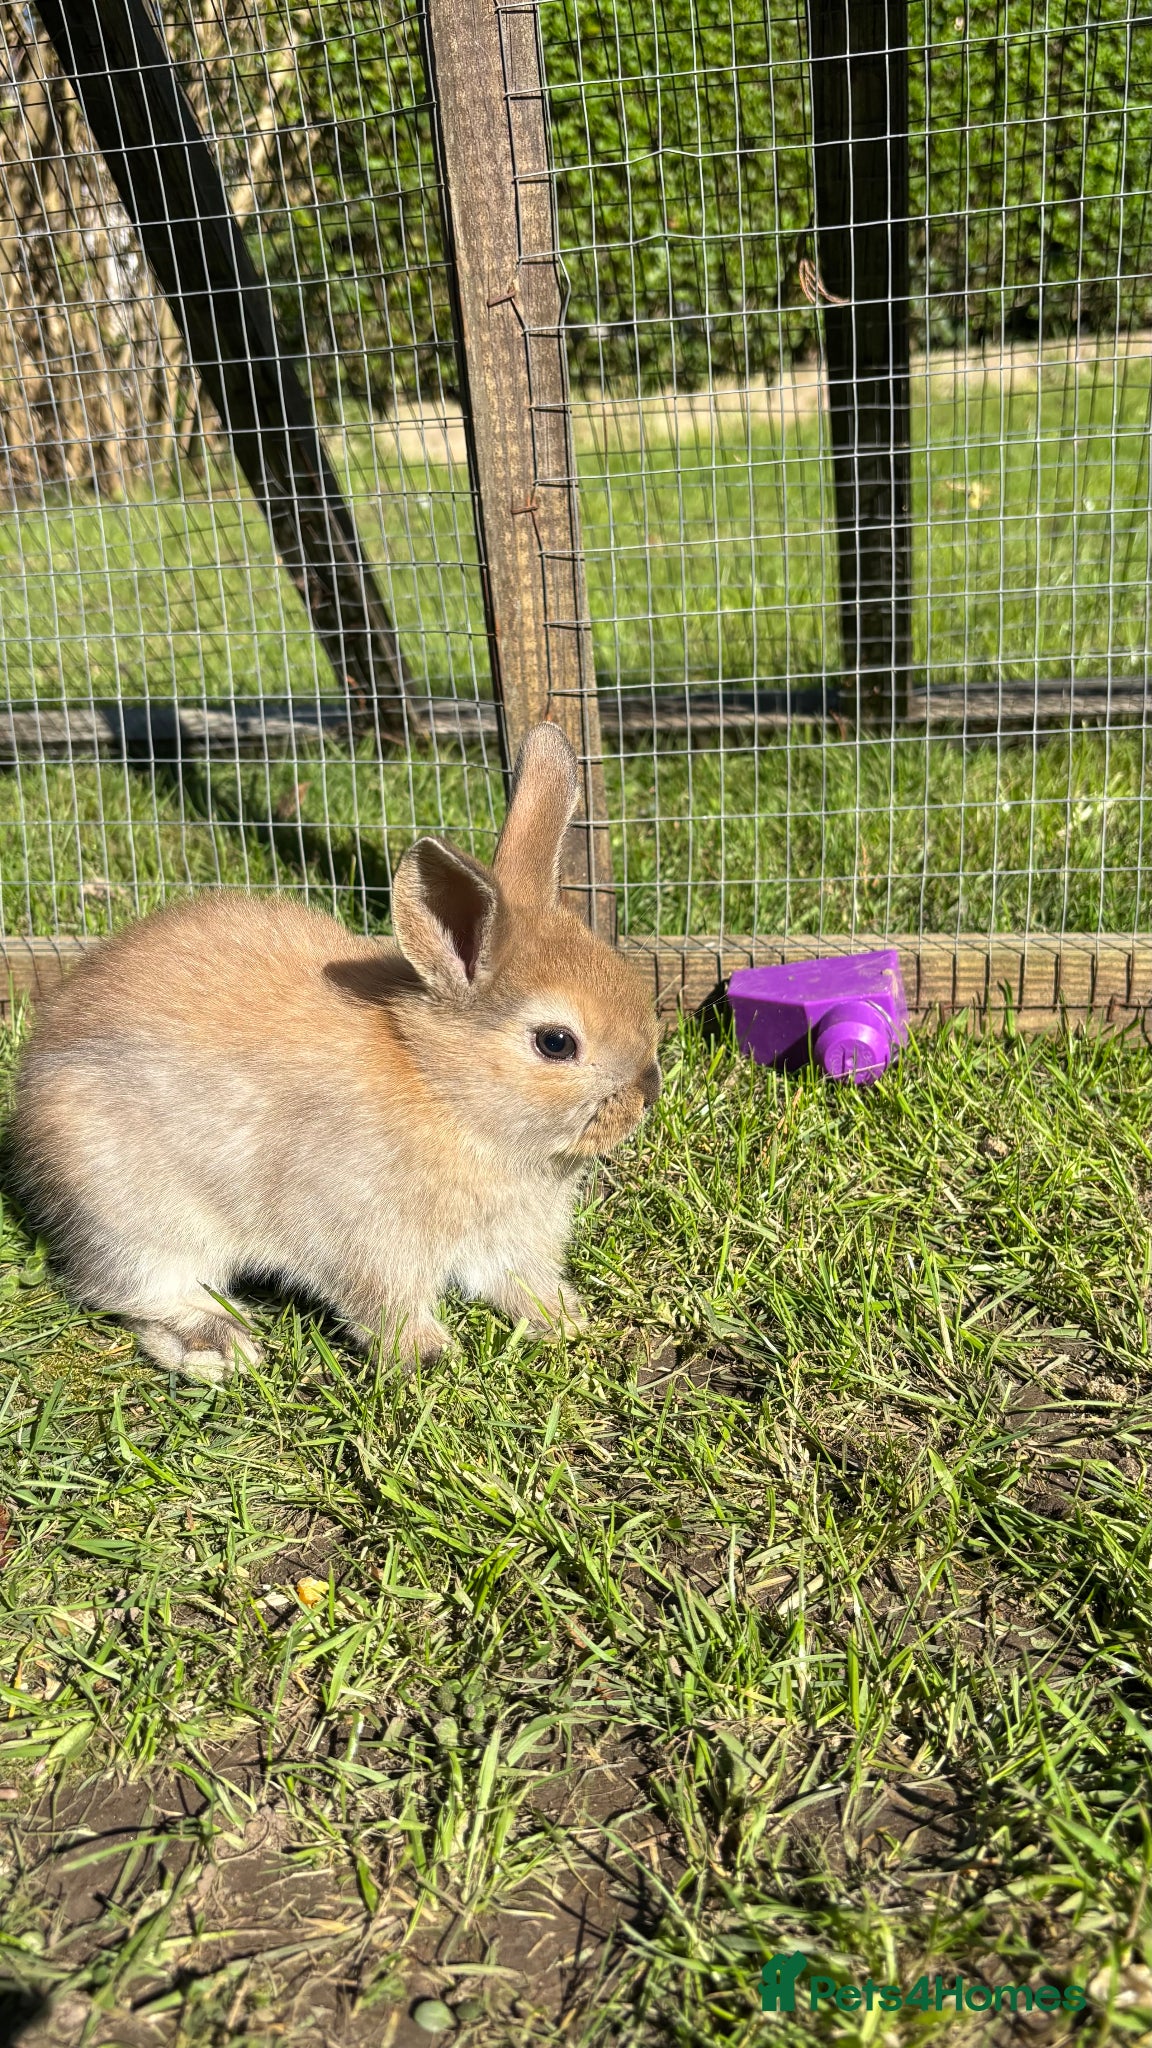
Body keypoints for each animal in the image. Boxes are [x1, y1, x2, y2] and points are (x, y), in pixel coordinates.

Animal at [9, 723, 660, 1382]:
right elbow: (383, 1303)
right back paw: (222, 1345)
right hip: (136, 1217)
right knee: (133, 1293)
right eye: (557, 1043)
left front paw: (563, 1320)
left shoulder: (507, 1240)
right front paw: (426, 1357)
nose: (647, 1093)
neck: (441, 1090)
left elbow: (519, 1282)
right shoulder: (362, 1237)